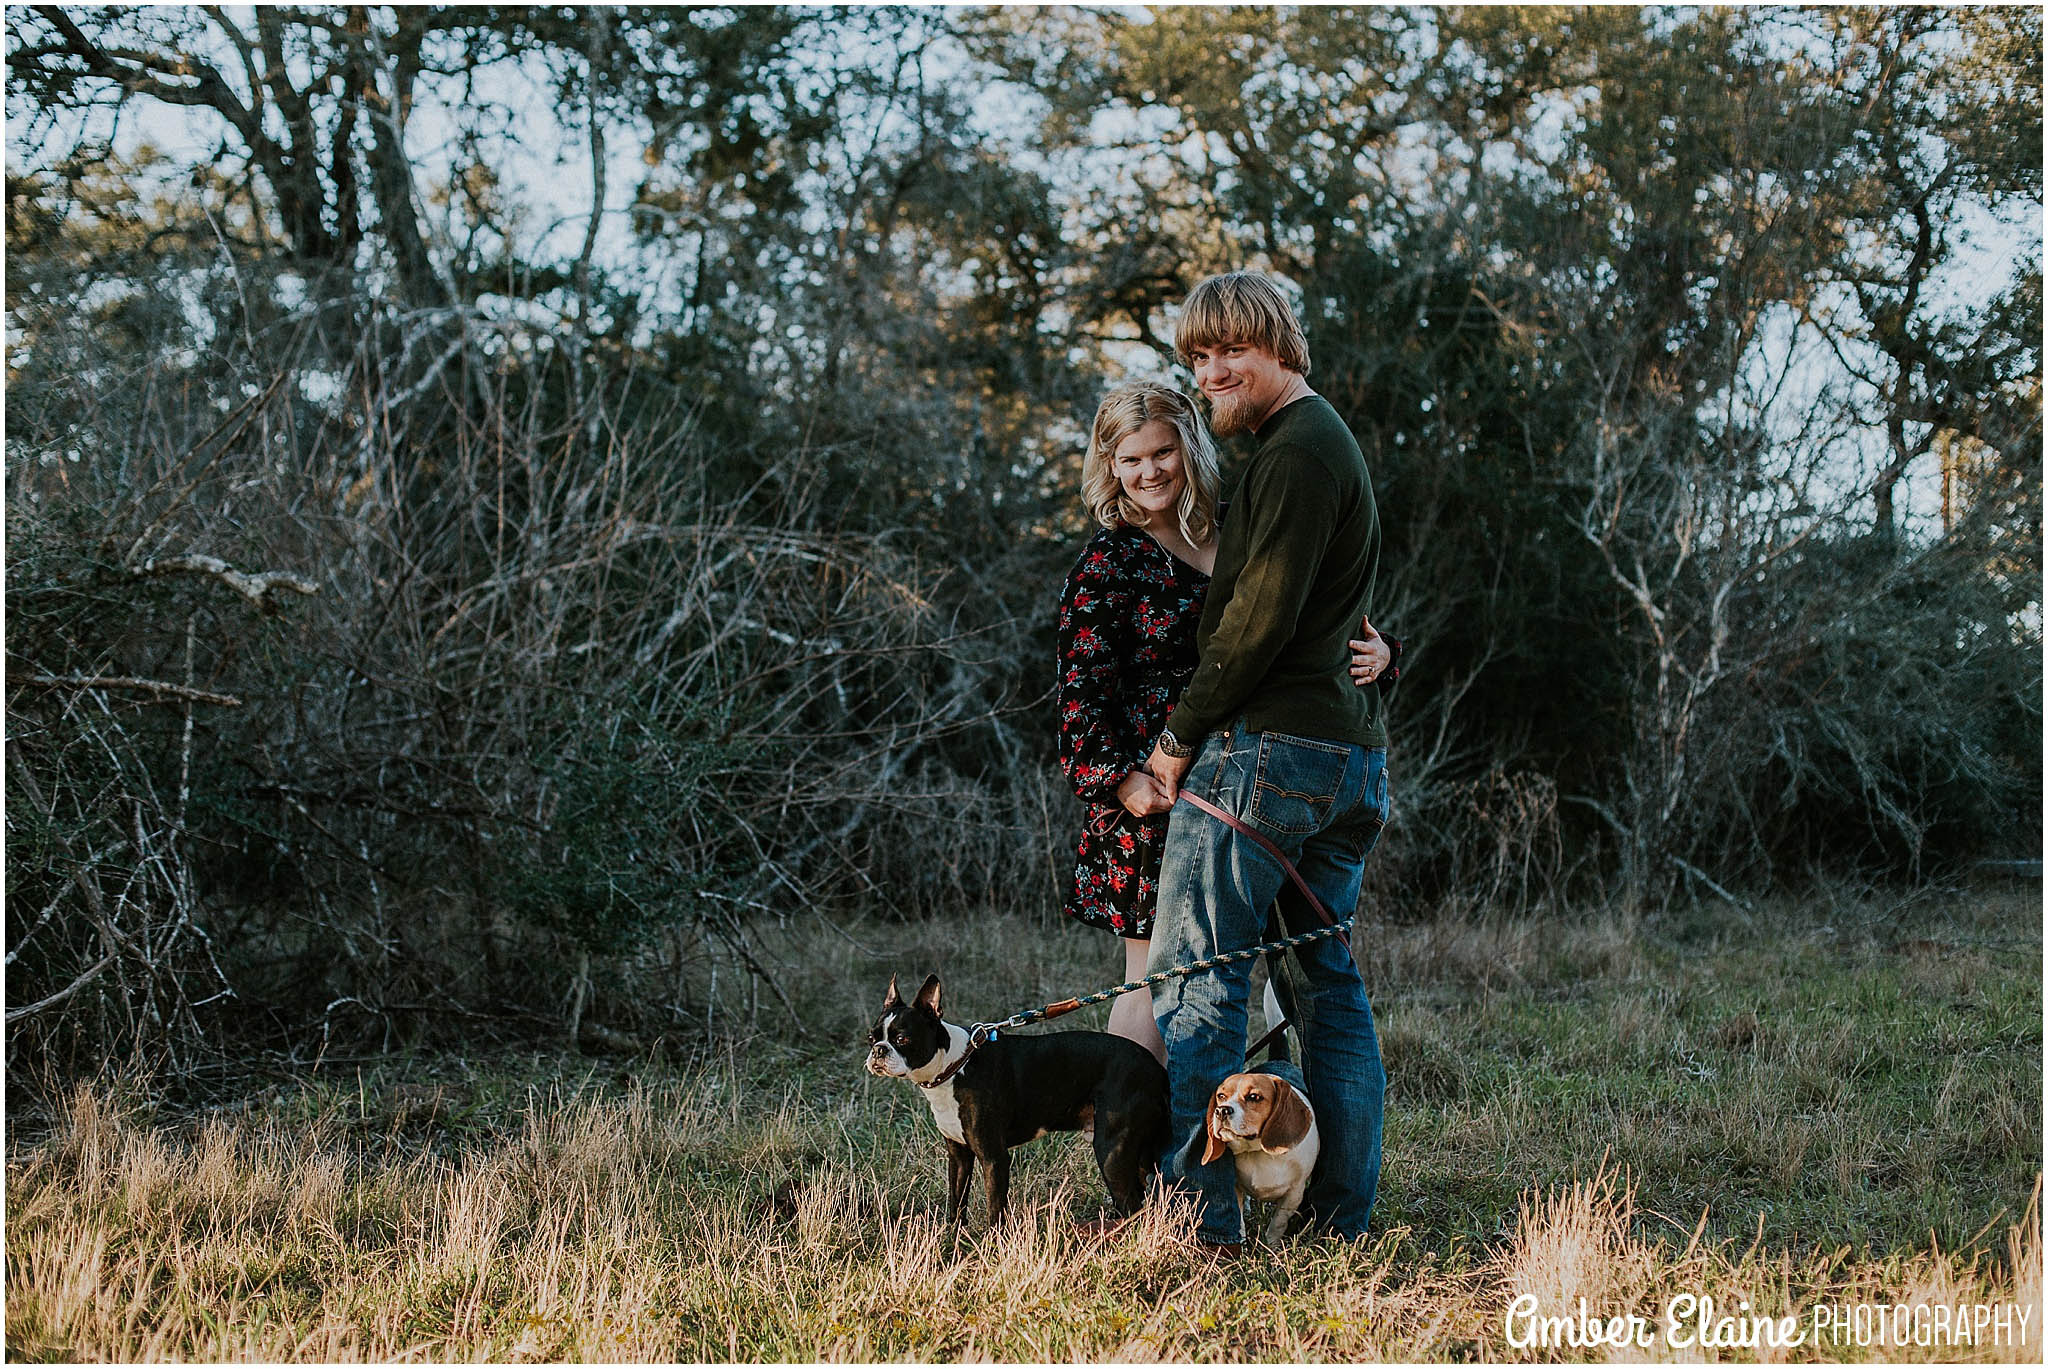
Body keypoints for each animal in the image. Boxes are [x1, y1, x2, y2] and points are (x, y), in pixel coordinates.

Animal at [864, 971, 1171, 1221]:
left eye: (902, 1039)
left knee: (1132, 1205)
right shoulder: (958, 1156)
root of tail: (1155, 1069)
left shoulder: (994, 1158)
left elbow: (995, 1211)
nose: (879, 1050)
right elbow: (956, 1205)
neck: (955, 1065)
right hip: (1135, 1151)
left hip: (1111, 1151)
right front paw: (954, 1244)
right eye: (870, 1037)